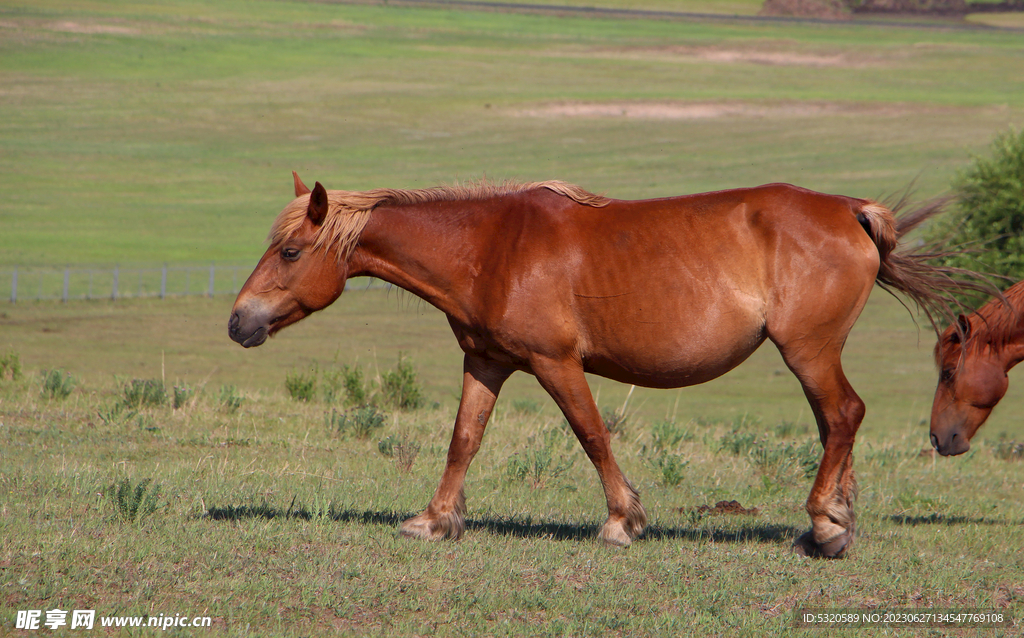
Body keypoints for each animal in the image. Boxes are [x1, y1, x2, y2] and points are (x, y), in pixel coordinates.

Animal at [230, 173, 966, 557]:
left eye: (290, 252)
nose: (239, 321)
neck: (493, 248)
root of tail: (850, 210)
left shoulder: (555, 363)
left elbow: (591, 435)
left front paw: (621, 521)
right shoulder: (486, 363)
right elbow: (464, 440)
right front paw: (434, 519)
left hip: (808, 352)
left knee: (843, 415)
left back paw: (826, 523)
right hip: (813, 355)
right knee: (836, 423)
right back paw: (836, 518)